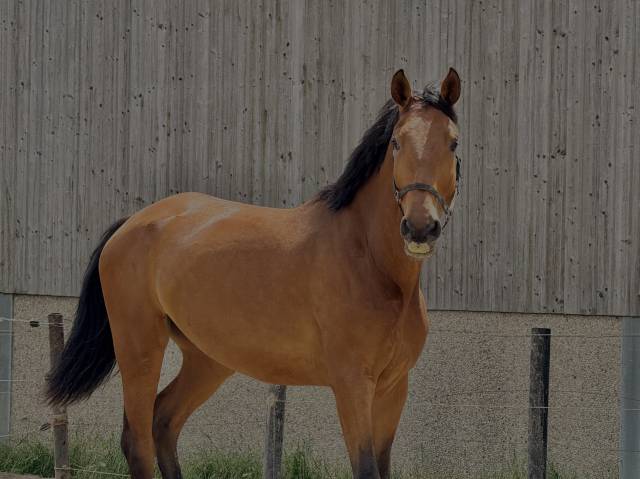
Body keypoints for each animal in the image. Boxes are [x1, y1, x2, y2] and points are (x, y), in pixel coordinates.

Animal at [46, 67, 461, 479]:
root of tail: (133, 223)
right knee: (138, 441)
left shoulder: (393, 388)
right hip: (140, 349)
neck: (371, 262)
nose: (420, 227)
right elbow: (365, 468)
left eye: (453, 143)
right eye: (396, 143)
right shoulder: (352, 385)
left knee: (163, 421)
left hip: (207, 359)